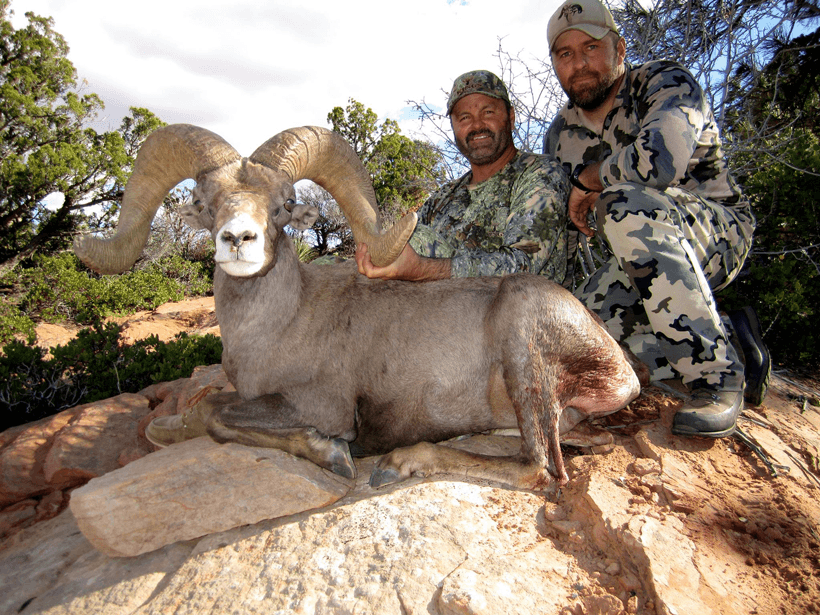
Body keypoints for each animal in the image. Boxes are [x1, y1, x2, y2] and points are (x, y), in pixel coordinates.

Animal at [74, 124, 643, 490]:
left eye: (283, 205)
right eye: (205, 203)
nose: (238, 239)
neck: (278, 326)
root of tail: (622, 370)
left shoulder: (318, 406)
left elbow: (216, 415)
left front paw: (331, 455)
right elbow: (188, 415)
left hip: (525, 347)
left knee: (542, 468)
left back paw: (398, 462)